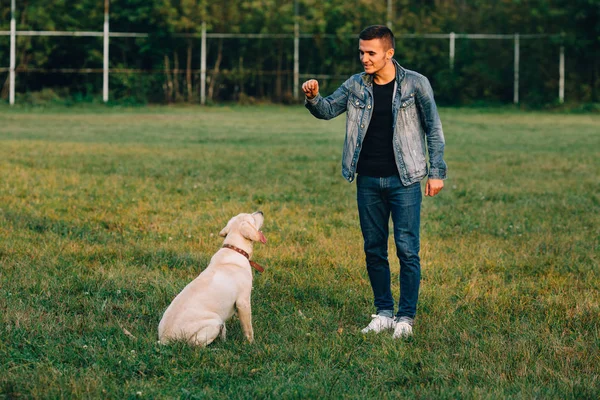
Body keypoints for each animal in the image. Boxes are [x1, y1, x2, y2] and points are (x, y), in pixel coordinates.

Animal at [158, 211, 266, 346]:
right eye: (252, 217)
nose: (261, 212)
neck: (235, 250)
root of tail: (164, 339)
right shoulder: (243, 302)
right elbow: (248, 329)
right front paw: (251, 344)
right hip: (214, 322)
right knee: (196, 345)